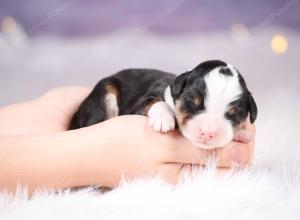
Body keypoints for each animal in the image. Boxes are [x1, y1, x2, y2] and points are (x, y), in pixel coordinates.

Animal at [69, 60, 256, 150]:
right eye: (193, 103)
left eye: (233, 114)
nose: (208, 133)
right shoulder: (139, 105)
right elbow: (156, 103)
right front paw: (164, 120)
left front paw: (242, 134)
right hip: (105, 92)